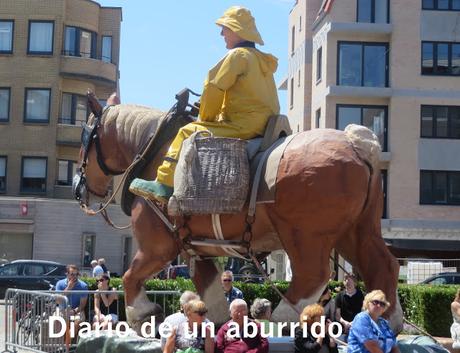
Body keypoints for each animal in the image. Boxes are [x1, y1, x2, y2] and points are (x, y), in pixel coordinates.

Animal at [73, 97, 400, 332]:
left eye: (85, 139)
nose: (79, 188)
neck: (152, 153)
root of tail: (357, 145)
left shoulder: (158, 246)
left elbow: (130, 276)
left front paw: (142, 315)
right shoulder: (197, 249)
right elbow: (211, 291)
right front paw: (212, 323)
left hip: (306, 235)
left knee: (313, 274)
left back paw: (282, 318)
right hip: (357, 230)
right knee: (383, 265)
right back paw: (387, 318)